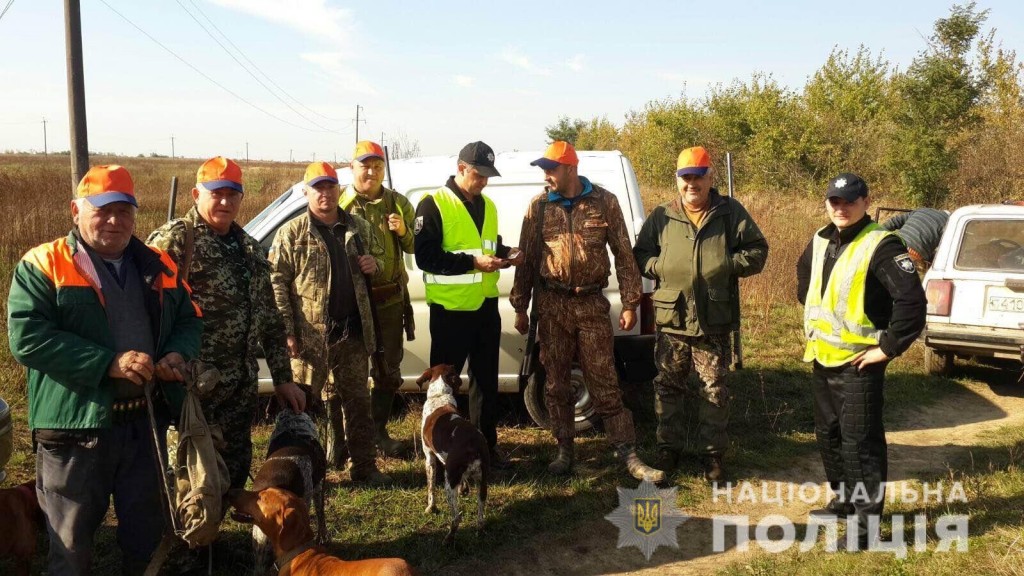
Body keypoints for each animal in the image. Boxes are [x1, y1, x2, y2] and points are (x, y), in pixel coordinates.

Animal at [413, 362, 489, 541]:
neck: (439, 396)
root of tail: (473, 443)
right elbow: (464, 481)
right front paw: (464, 490)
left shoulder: (430, 458)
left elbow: (431, 488)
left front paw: (431, 508)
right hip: (481, 481)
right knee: (481, 513)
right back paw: (479, 531)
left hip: (449, 483)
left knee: (456, 518)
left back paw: (448, 538)